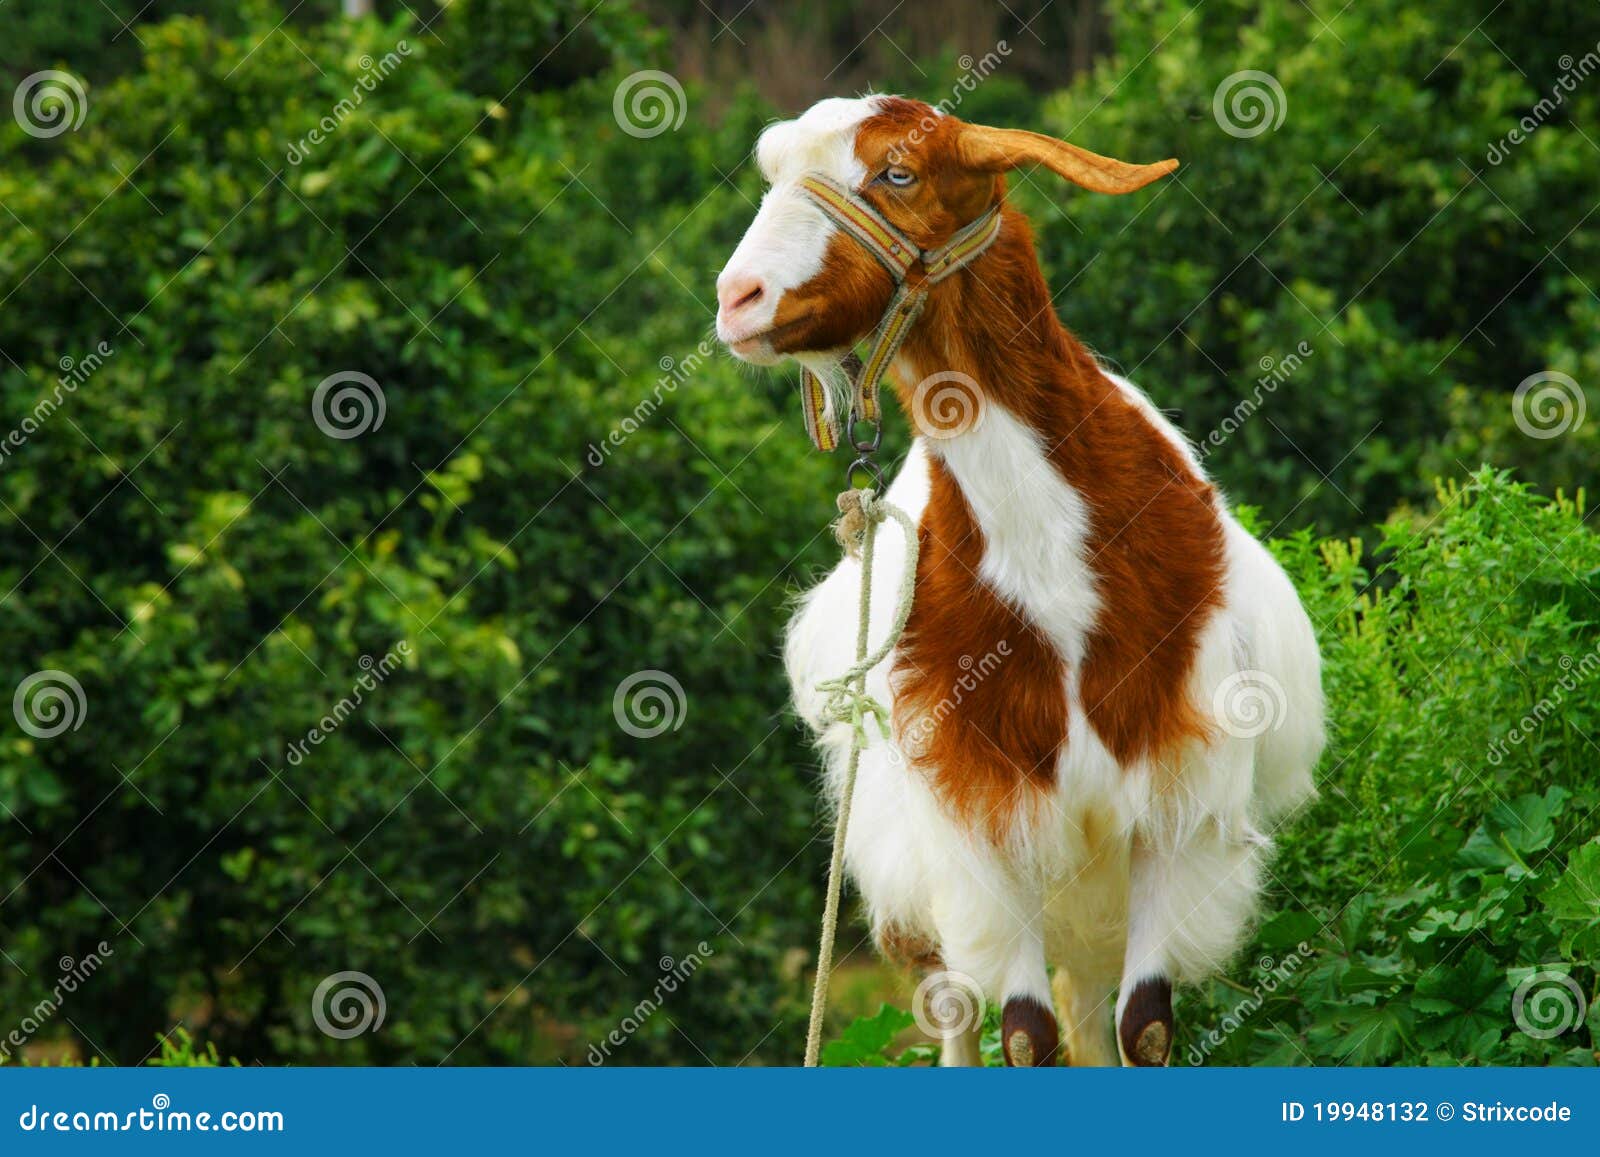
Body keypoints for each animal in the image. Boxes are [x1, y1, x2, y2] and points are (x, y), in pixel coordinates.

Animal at [714, 96, 1325, 1067]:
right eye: (774, 175)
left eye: (897, 173)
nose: (736, 302)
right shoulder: (981, 827)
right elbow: (1025, 1034)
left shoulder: (1180, 804)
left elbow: (1144, 1024)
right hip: (918, 872)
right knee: (955, 1011)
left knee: (1088, 1007)